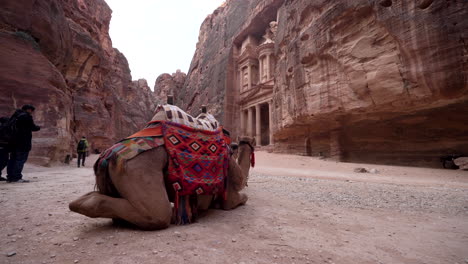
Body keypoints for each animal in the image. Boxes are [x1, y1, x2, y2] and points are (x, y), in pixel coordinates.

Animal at [68, 107, 256, 231]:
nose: (249, 141)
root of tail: (106, 157)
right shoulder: (228, 182)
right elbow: (238, 198)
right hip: (136, 170)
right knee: (158, 213)